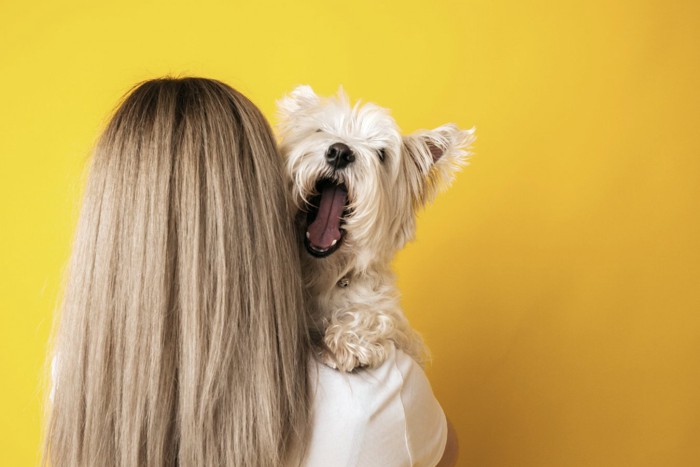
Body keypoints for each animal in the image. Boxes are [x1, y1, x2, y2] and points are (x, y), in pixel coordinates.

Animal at [276, 86, 474, 372]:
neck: (323, 273)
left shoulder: (391, 318)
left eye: (381, 155)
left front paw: (346, 341)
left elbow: (377, 315)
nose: (340, 152)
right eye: (320, 131)